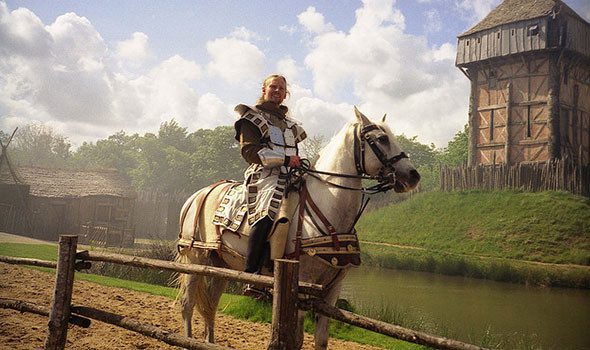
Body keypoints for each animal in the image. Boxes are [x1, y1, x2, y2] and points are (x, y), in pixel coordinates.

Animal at [175, 108, 420, 348]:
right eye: (382, 139)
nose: (413, 176)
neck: (327, 208)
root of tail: (196, 196)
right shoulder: (302, 287)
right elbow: (297, 339)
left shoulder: (332, 289)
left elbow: (321, 339)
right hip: (195, 259)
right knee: (188, 304)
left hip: (219, 265)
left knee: (210, 307)